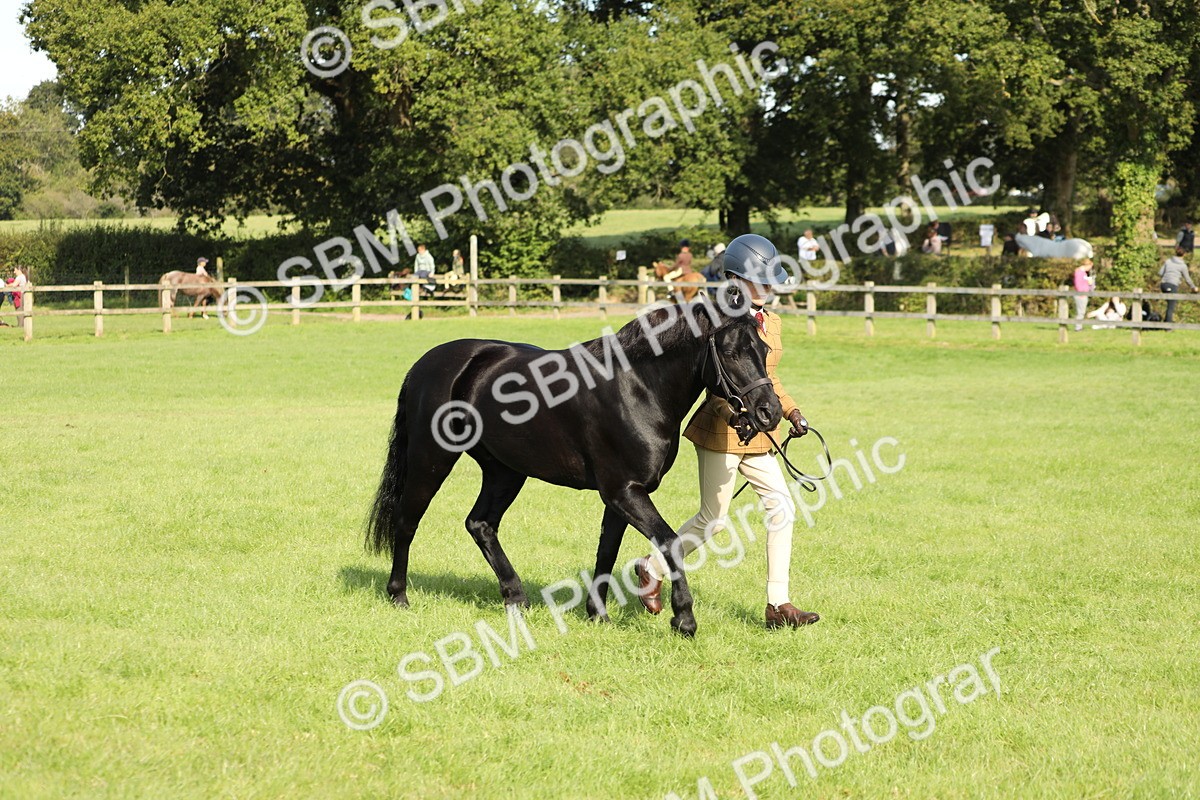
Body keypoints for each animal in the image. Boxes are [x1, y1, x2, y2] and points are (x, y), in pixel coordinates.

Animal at [366, 291, 781, 637]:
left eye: (762, 349)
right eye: (731, 352)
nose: (770, 412)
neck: (637, 387)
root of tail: (428, 364)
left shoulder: (622, 495)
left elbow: (607, 550)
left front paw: (598, 614)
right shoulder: (624, 492)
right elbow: (669, 542)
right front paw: (684, 619)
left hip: (505, 471)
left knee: (480, 524)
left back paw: (516, 598)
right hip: (432, 459)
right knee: (407, 520)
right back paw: (399, 595)